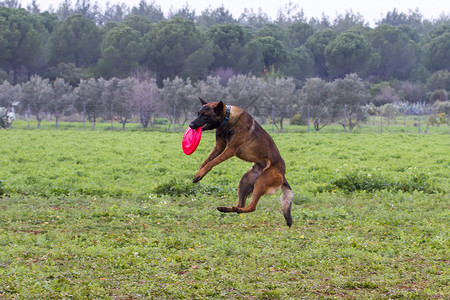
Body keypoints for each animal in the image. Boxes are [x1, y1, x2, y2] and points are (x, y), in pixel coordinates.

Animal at [188, 98, 294, 227]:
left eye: (205, 115)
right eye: (198, 114)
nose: (191, 125)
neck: (228, 118)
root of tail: (283, 175)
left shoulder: (230, 150)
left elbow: (211, 163)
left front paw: (200, 174)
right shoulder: (219, 146)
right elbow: (206, 161)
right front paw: (198, 174)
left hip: (261, 182)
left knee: (252, 207)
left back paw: (237, 209)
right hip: (245, 181)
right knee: (241, 204)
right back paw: (227, 208)